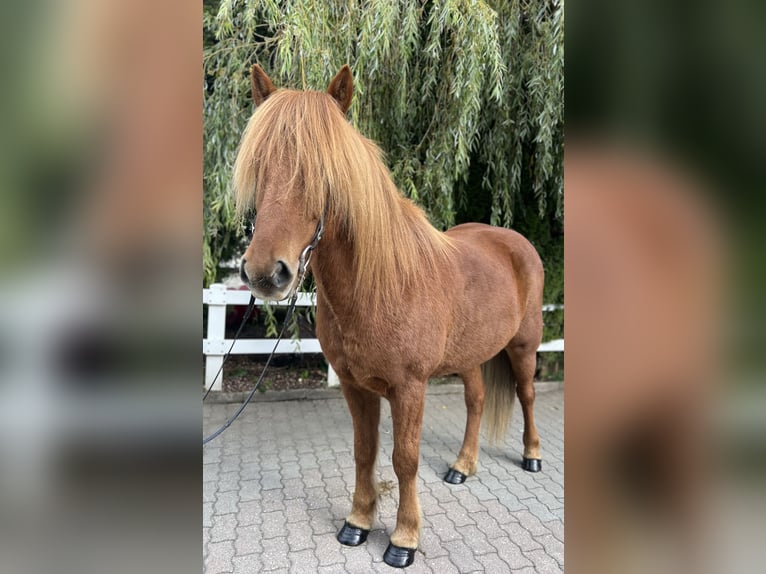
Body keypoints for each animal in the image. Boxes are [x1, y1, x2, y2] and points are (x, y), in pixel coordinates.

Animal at [236, 65, 544, 568]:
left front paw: (404, 539)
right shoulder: (356, 386)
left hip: (523, 347)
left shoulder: (409, 388)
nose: (265, 272)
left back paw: (533, 456)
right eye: (259, 165)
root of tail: (514, 242)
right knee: (476, 401)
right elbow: (365, 452)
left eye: (323, 172)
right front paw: (358, 523)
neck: (380, 285)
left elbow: (405, 459)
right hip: (471, 356)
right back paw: (462, 467)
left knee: (527, 395)